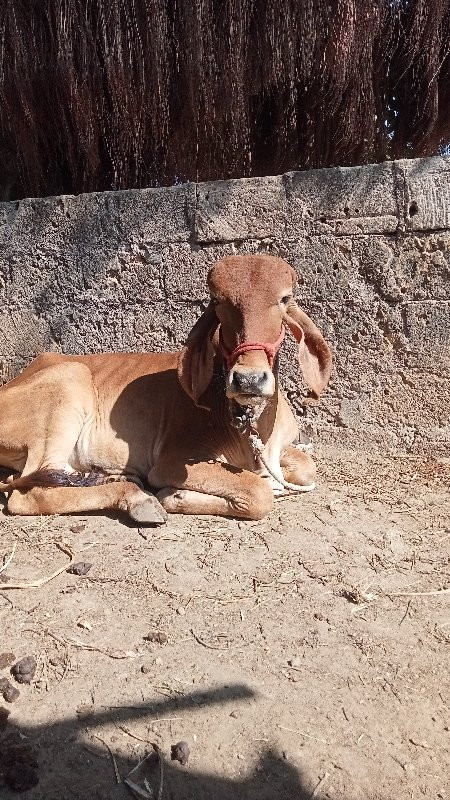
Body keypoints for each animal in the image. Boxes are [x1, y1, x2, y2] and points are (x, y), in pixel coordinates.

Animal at [0, 253, 330, 520]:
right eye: (218, 301)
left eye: (284, 299)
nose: (248, 379)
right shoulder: (172, 461)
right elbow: (259, 492)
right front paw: (175, 495)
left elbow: (306, 467)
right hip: (68, 382)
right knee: (28, 492)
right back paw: (137, 498)